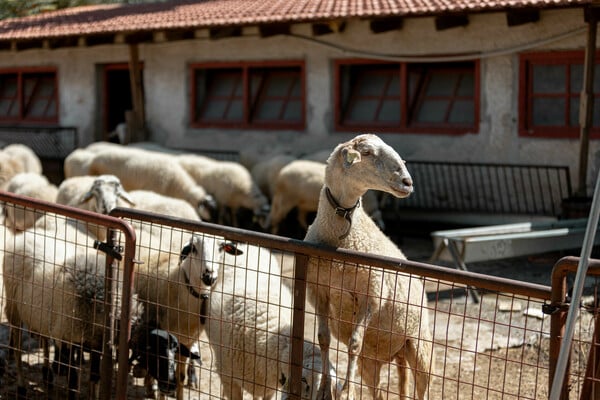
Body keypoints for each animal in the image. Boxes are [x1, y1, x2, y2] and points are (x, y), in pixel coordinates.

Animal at [2, 217, 144, 398]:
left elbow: (95, 377)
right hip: (14, 309)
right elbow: (73, 380)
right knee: (18, 349)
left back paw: (47, 376)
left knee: (44, 339)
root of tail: (22, 237)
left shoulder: (95, 344)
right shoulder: (67, 337)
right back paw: (21, 387)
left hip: (40, 313)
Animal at [302, 134, 434, 400]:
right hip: (373, 361)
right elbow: (323, 339)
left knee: (424, 387)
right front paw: (324, 387)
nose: (407, 182)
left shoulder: (372, 295)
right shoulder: (319, 291)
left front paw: (346, 390)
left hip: (419, 344)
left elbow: (354, 344)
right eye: (368, 153)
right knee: (381, 390)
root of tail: (395, 354)